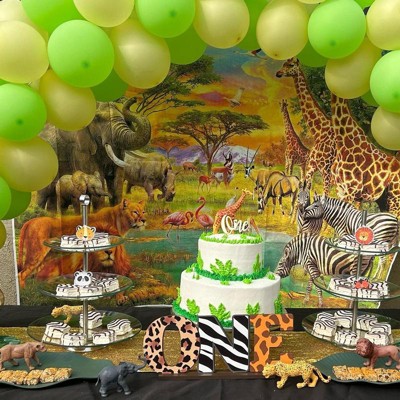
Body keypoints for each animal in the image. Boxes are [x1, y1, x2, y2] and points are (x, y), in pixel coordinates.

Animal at [276, 58, 336, 195]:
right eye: (283, 63)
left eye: (291, 65)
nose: (278, 73)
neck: (320, 132)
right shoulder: (310, 166)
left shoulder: (326, 170)